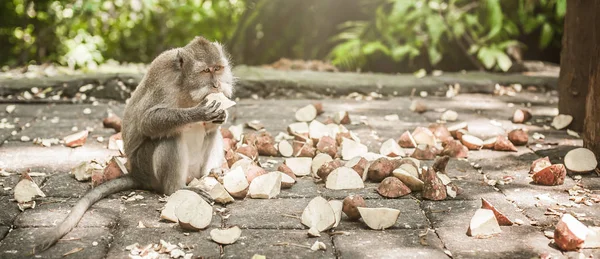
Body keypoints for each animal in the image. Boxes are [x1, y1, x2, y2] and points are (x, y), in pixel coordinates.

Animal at [35, 37, 234, 254]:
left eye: (218, 68)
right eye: (205, 71)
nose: (216, 84)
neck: (187, 89)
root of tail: (138, 174)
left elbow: (212, 126)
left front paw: (221, 115)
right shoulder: (163, 79)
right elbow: (148, 121)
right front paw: (199, 112)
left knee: (213, 133)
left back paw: (212, 173)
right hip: (146, 165)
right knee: (169, 139)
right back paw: (177, 188)